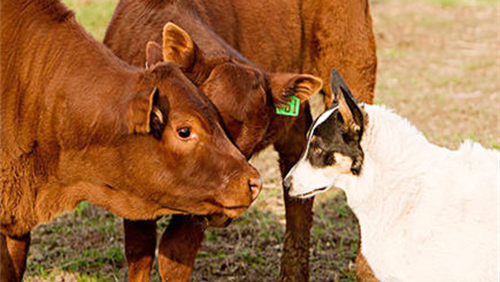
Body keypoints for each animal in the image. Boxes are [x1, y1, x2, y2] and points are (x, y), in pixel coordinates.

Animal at [103, 0, 376, 280]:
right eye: (189, 131)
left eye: (251, 146)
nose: (224, 207)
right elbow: (140, 251)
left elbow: (175, 253)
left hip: (353, 63)